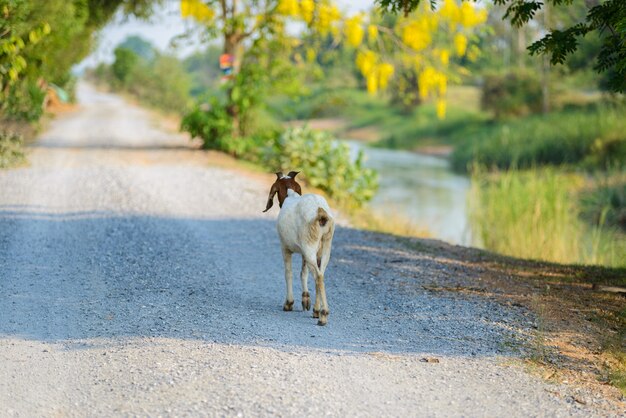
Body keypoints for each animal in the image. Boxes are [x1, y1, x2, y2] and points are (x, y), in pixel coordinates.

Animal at [260, 171, 334, 326]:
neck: (292, 195)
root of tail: (320, 212)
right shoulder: (304, 252)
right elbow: (303, 273)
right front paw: (305, 300)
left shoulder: (285, 247)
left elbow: (288, 273)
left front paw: (288, 303)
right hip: (323, 246)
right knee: (320, 274)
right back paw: (317, 311)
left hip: (309, 245)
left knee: (318, 276)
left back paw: (323, 315)